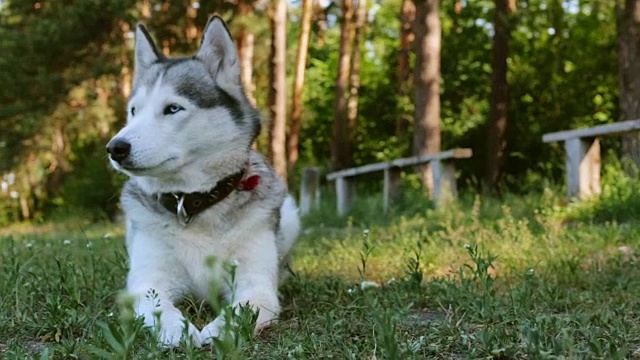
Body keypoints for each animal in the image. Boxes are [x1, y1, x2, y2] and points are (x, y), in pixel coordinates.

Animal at [107, 16, 300, 346]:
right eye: (134, 111)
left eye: (173, 108)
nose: (115, 148)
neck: (194, 202)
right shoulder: (148, 281)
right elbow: (158, 306)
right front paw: (176, 330)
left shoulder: (256, 284)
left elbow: (246, 307)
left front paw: (218, 329)